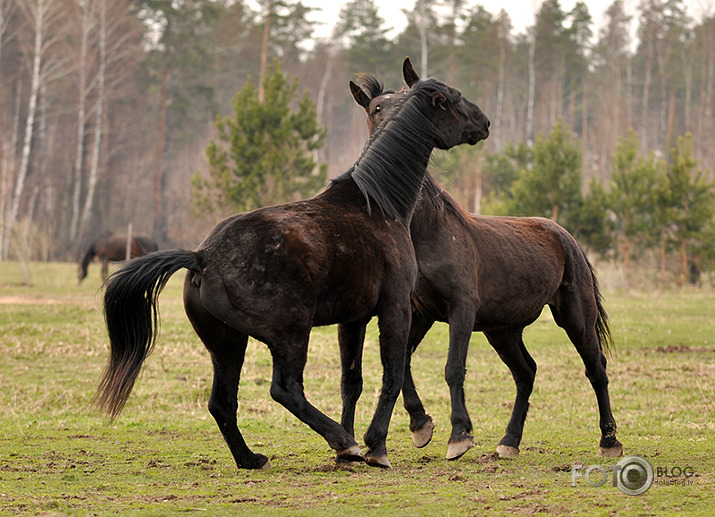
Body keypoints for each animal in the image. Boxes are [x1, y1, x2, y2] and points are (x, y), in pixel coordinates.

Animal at [93, 64, 492, 468]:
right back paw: (342, 441)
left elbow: (353, 379)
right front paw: (376, 446)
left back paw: (252, 458)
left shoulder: (354, 319)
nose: (485, 122)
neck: (378, 205)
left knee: (222, 403)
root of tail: (201, 257)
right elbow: (392, 373)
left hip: (227, 343)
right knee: (285, 389)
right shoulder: (395, 308)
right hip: (290, 335)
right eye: (455, 98)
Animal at [338, 59, 624, 460]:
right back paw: (509, 442)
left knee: (595, 369)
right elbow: (404, 362)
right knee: (526, 373)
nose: (485, 123)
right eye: (376, 107)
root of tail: (564, 236)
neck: (428, 231)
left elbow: (452, 368)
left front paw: (459, 435)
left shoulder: (462, 307)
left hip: (576, 317)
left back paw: (609, 441)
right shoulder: (420, 312)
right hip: (502, 330)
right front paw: (421, 425)